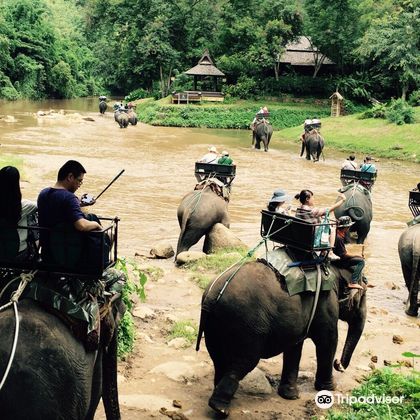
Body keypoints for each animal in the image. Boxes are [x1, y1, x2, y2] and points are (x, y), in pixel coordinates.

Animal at [196, 260, 364, 416]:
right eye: (362, 297)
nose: (338, 364)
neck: (335, 269)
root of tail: (213, 295)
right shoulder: (327, 303)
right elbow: (327, 341)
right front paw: (329, 388)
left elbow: (294, 347)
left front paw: (289, 395)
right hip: (247, 325)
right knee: (244, 362)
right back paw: (221, 409)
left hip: (215, 325)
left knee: (219, 359)